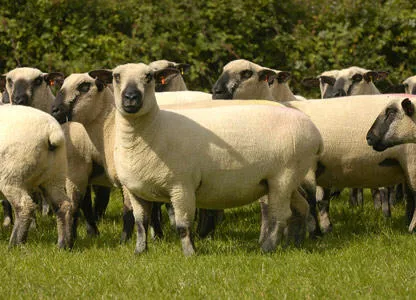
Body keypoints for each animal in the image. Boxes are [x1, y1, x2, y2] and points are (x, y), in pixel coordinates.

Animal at [0, 104, 73, 247]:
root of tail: (51, 130)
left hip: (12, 176)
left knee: (24, 207)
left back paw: (15, 244)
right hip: (55, 175)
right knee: (63, 205)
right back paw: (63, 244)